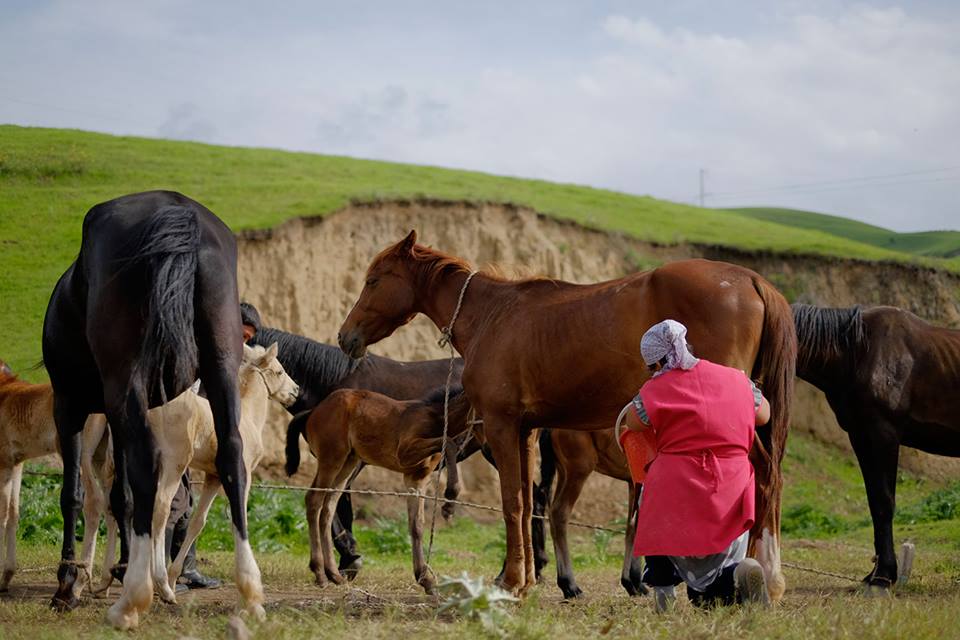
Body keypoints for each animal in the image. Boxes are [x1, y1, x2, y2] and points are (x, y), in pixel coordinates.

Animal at [42, 191, 262, 632]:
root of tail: (176, 208)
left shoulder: (69, 406)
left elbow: (73, 494)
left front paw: (69, 584)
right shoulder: (115, 416)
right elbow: (122, 497)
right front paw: (120, 567)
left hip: (123, 382)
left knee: (146, 465)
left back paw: (131, 601)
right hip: (220, 366)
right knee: (231, 457)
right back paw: (248, 591)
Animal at [338, 231, 796, 600]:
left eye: (373, 281)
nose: (346, 336)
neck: (492, 314)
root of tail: (751, 281)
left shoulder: (502, 426)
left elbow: (512, 503)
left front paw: (511, 582)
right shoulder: (523, 432)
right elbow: (527, 505)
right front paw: (524, 579)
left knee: (763, 476)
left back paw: (765, 576)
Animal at [792, 304, 960, 592]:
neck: (859, 351)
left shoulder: (884, 434)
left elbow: (884, 502)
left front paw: (883, 576)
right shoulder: (861, 436)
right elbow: (873, 502)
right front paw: (875, 574)